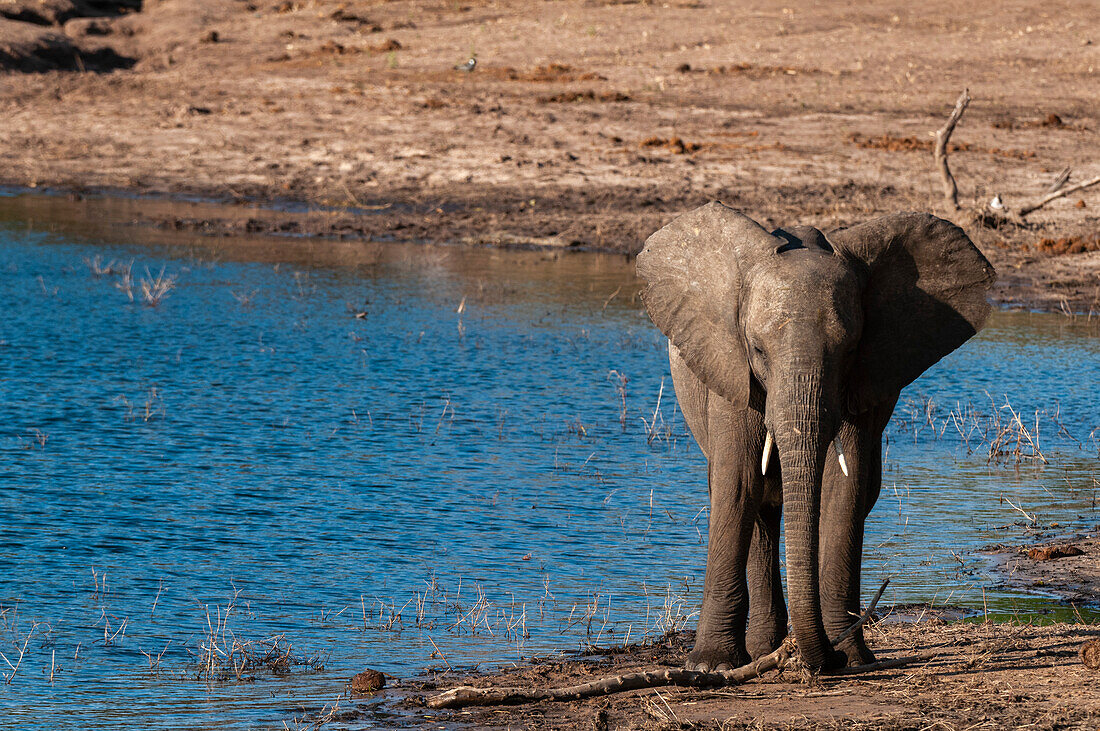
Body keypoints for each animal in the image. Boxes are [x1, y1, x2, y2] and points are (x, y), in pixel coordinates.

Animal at [638, 203, 998, 672]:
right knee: (757, 507)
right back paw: (762, 651)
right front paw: (710, 666)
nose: (829, 657)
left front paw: (854, 658)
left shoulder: (867, 379)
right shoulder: (732, 371)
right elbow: (738, 483)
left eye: (849, 350)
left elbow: (844, 487)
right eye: (757, 349)